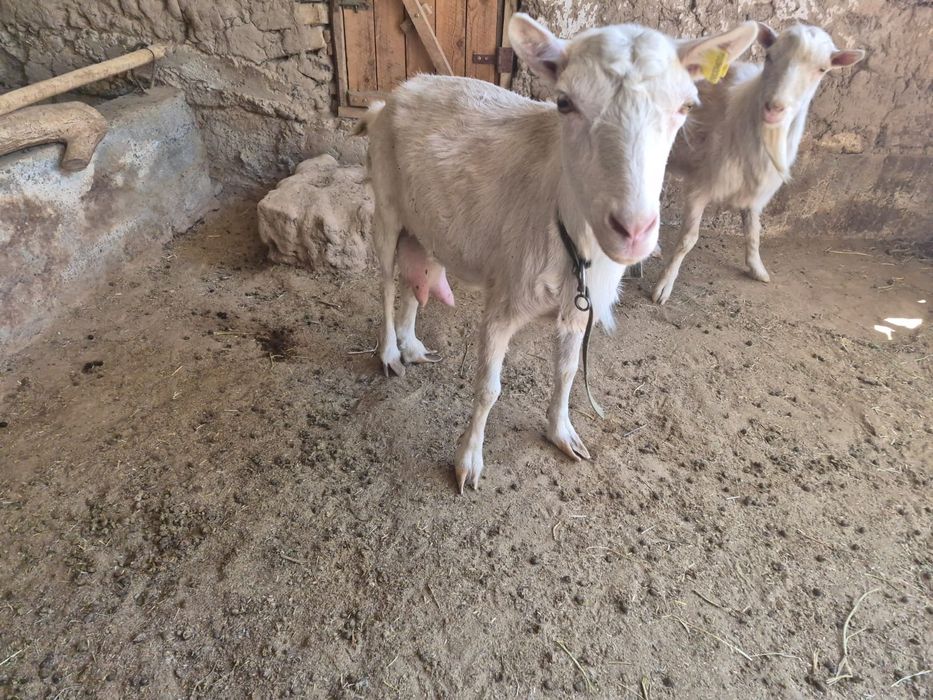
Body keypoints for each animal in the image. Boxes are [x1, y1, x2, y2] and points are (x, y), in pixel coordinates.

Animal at [359, 13, 758, 492]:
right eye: (564, 103)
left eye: (686, 107)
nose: (634, 231)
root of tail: (396, 94)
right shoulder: (505, 298)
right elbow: (488, 387)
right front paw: (468, 462)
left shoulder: (579, 309)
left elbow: (567, 372)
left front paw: (562, 433)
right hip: (386, 203)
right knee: (384, 282)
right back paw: (389, 353)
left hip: (431, 225)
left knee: (414, 279)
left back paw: (411, 344)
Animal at [652, 23, 865, 304]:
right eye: (769, 56)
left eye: (822, 69)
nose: (774, 108)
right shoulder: (701, 185)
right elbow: (688, 239)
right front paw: (664, 285)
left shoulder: (756, 189)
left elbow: (754, 232)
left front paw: (756, 268)